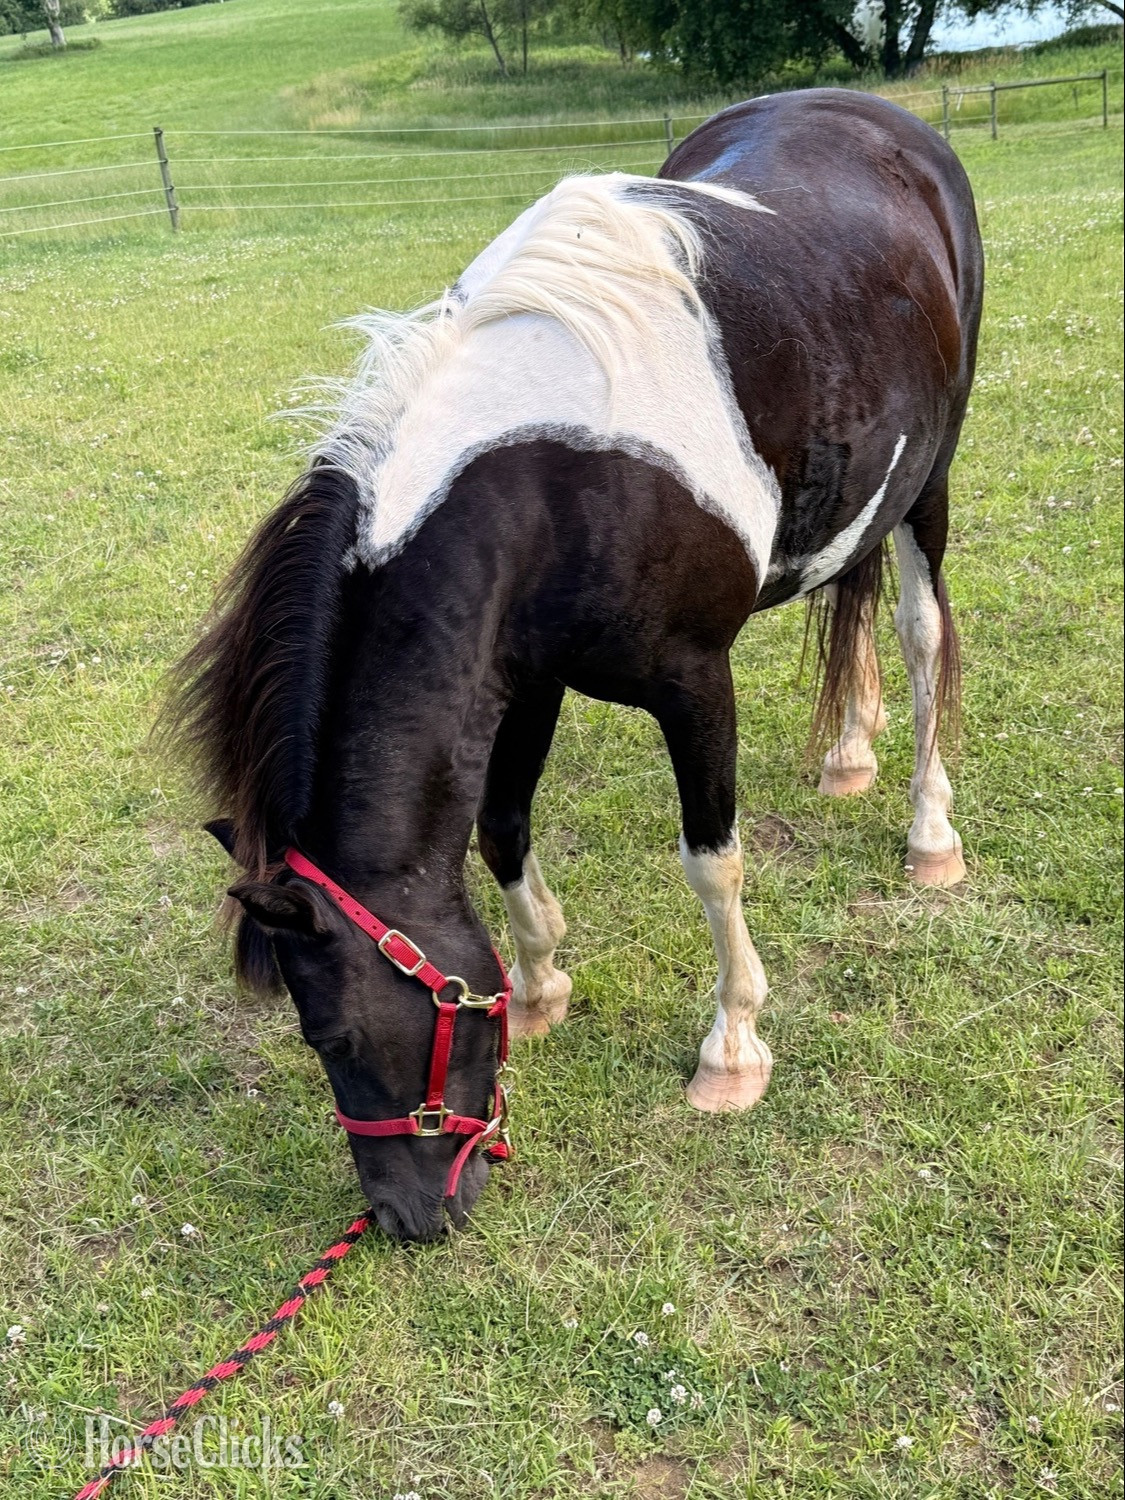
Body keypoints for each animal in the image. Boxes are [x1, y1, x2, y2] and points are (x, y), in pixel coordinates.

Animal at [168, 89, 983, 1242]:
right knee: (852, 592)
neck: (555, 468)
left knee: (919, 630)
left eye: (329, 1037)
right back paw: (849, 754)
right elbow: (501, 828)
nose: (406, 1220)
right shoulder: (527, 679)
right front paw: (540, 983)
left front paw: (732, 1048)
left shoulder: (693, 681)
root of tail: (882, 119)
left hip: (932, 480)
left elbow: (712, 858)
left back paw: (927, 832)